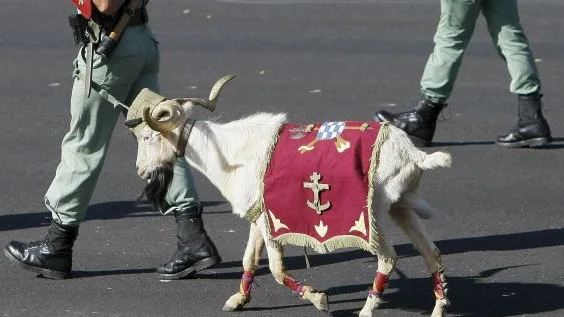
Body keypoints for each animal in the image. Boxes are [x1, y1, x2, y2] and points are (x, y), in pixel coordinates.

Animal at [131, 75, 454, 314]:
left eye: (147, 137)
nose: (139, 170)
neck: (230, 153)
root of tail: (412, 154)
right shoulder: (259, 216)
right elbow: (249, 260)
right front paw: (238, 300)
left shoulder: (271, 223)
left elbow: (275, 269)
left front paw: (317, 298)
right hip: (401, 208)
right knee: (432, 253)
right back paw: (438, 308)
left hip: (371, 216)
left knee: (388, 258)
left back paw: (366, 310)